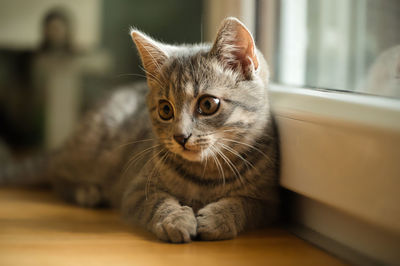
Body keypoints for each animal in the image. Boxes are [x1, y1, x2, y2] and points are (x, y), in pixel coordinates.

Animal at [0, 17, 280, 243]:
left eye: (208, 104)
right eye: (165, 110)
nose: (181, 136)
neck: (205, 176)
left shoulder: (270, 202)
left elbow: (246, 204)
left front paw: (220, 217)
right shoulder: (135, 190)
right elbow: (158, 202)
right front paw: (176, 220)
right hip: (95, 150)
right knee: (58, 174)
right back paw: (86, 191)